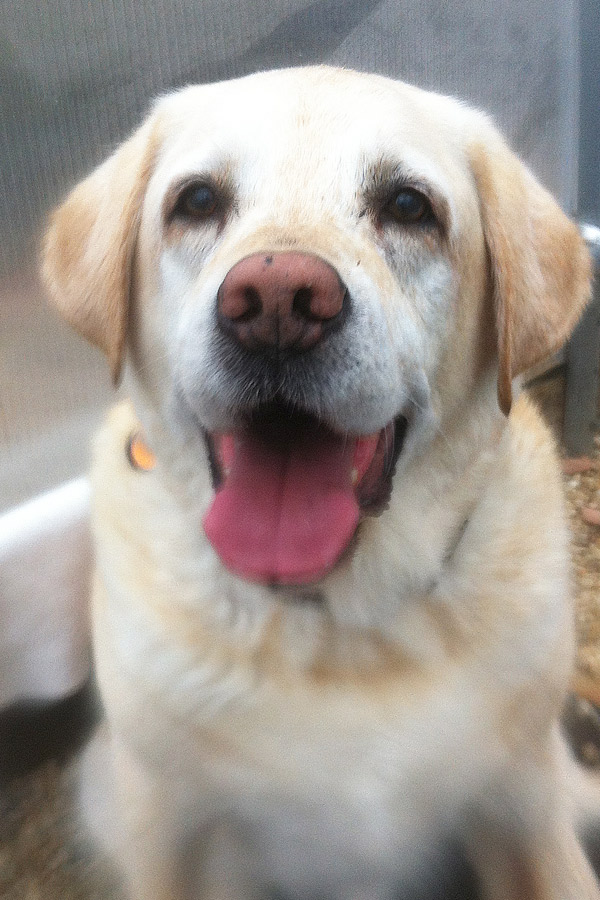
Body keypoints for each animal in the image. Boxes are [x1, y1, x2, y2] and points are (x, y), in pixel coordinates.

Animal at [43, 67, 596, 896]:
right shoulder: (167, 830)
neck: (337, 624)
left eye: (409, 206)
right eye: (196, 201)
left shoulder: (524, 805)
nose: (277, 301)